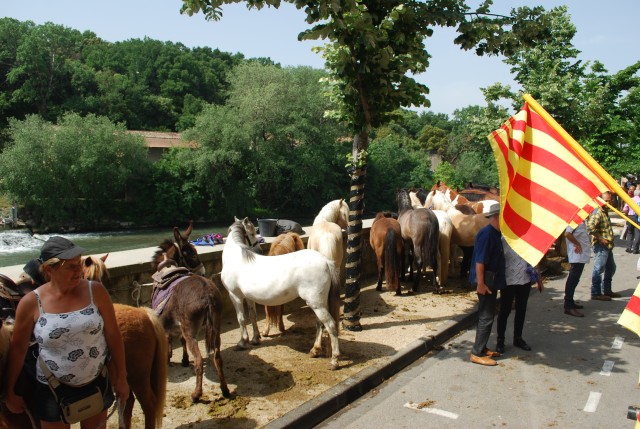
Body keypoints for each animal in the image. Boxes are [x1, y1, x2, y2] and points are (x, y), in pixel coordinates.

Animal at [151, 221, 229, 402]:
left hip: (192, 331)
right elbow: (179, 339)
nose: (203, 272)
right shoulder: (179, 324)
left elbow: (169, 339)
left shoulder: (167, 323)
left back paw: (196, 394)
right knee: (218, 357)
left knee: (199, 360)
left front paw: (169, 358)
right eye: (192, 254)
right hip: (215, 328)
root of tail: (208, 294)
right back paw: (225, 390)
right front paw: (184, 359)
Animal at [220, 217, 342, 368]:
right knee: (319, 324)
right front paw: (255, 339)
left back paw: (334, 360)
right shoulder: (248, 297)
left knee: (330, 325)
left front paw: (242, 342)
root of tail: (325, 261)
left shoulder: (235, 296)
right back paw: (315, 350)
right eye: (252, 233)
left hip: (317, 304)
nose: (259, 250)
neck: (236, 258)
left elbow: (241, 319)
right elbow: (252, 316)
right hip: (319, 304)